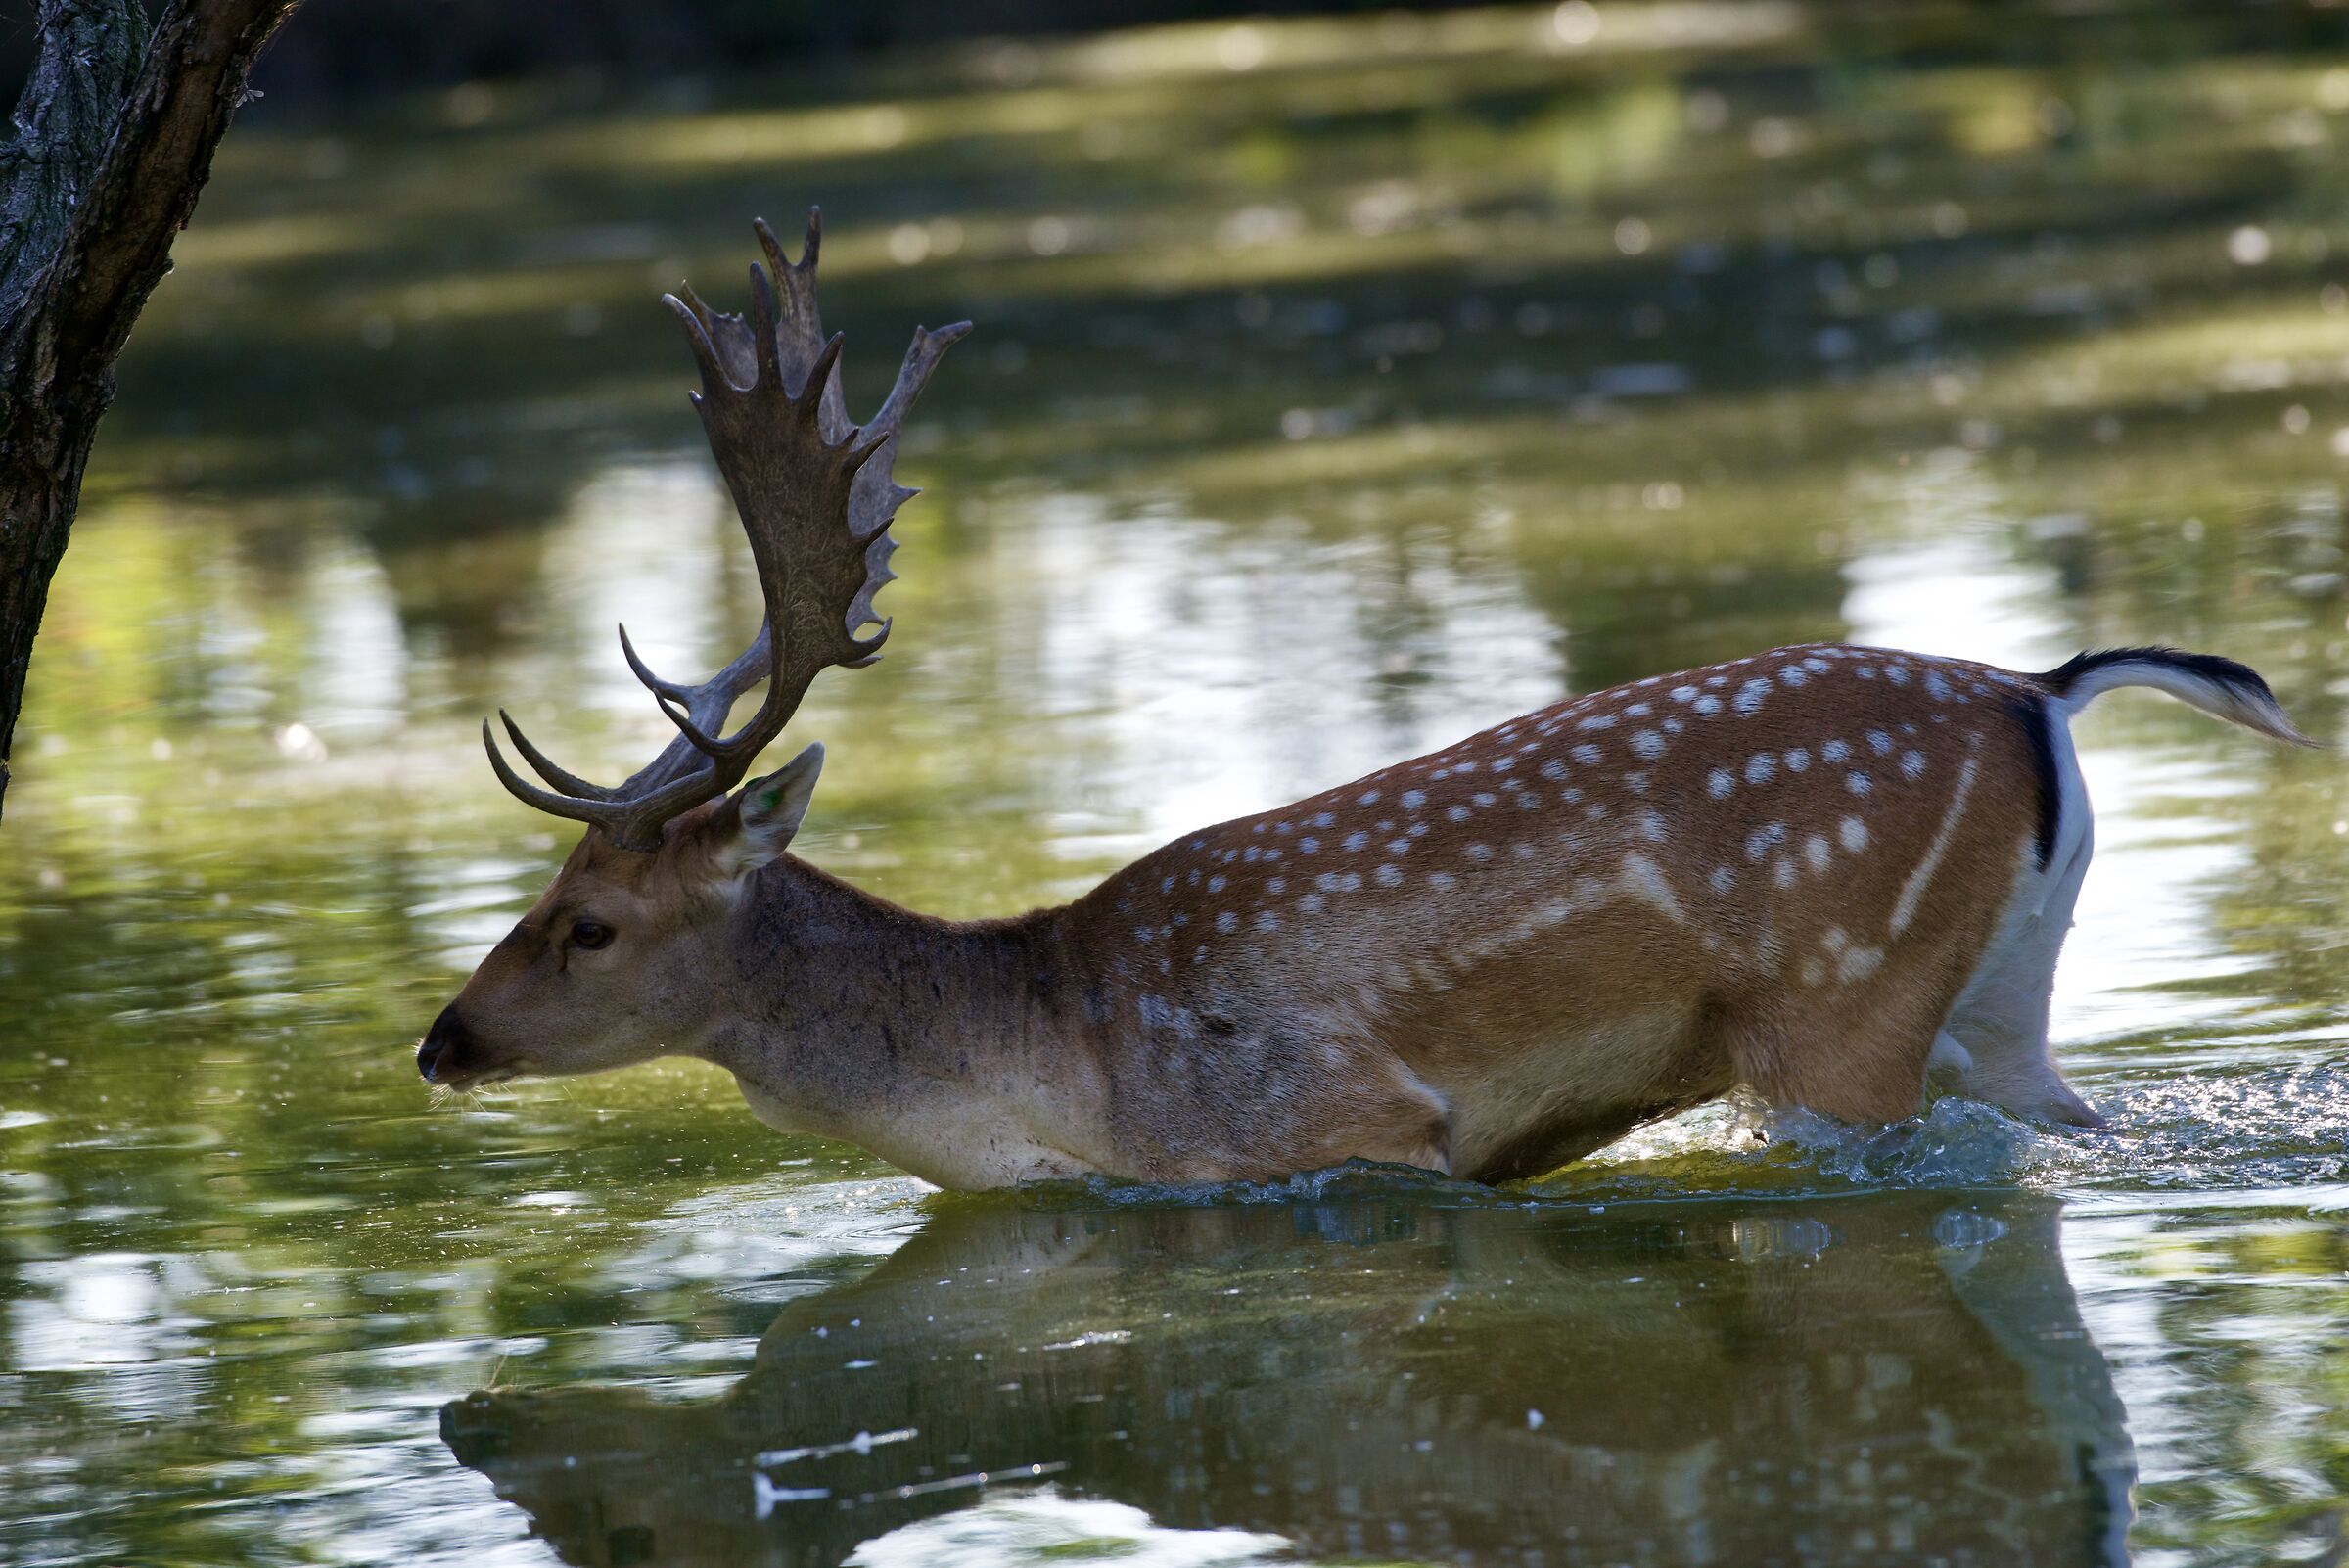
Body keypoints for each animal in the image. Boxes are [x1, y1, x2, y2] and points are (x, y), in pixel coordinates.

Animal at [416, 211, 2318, 1190]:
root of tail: (2040, 686)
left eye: (586, 921)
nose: (442, 1040)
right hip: (2002, 997)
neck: (1062, 1070)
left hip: (1839, 1008)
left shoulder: (1345, 1127)